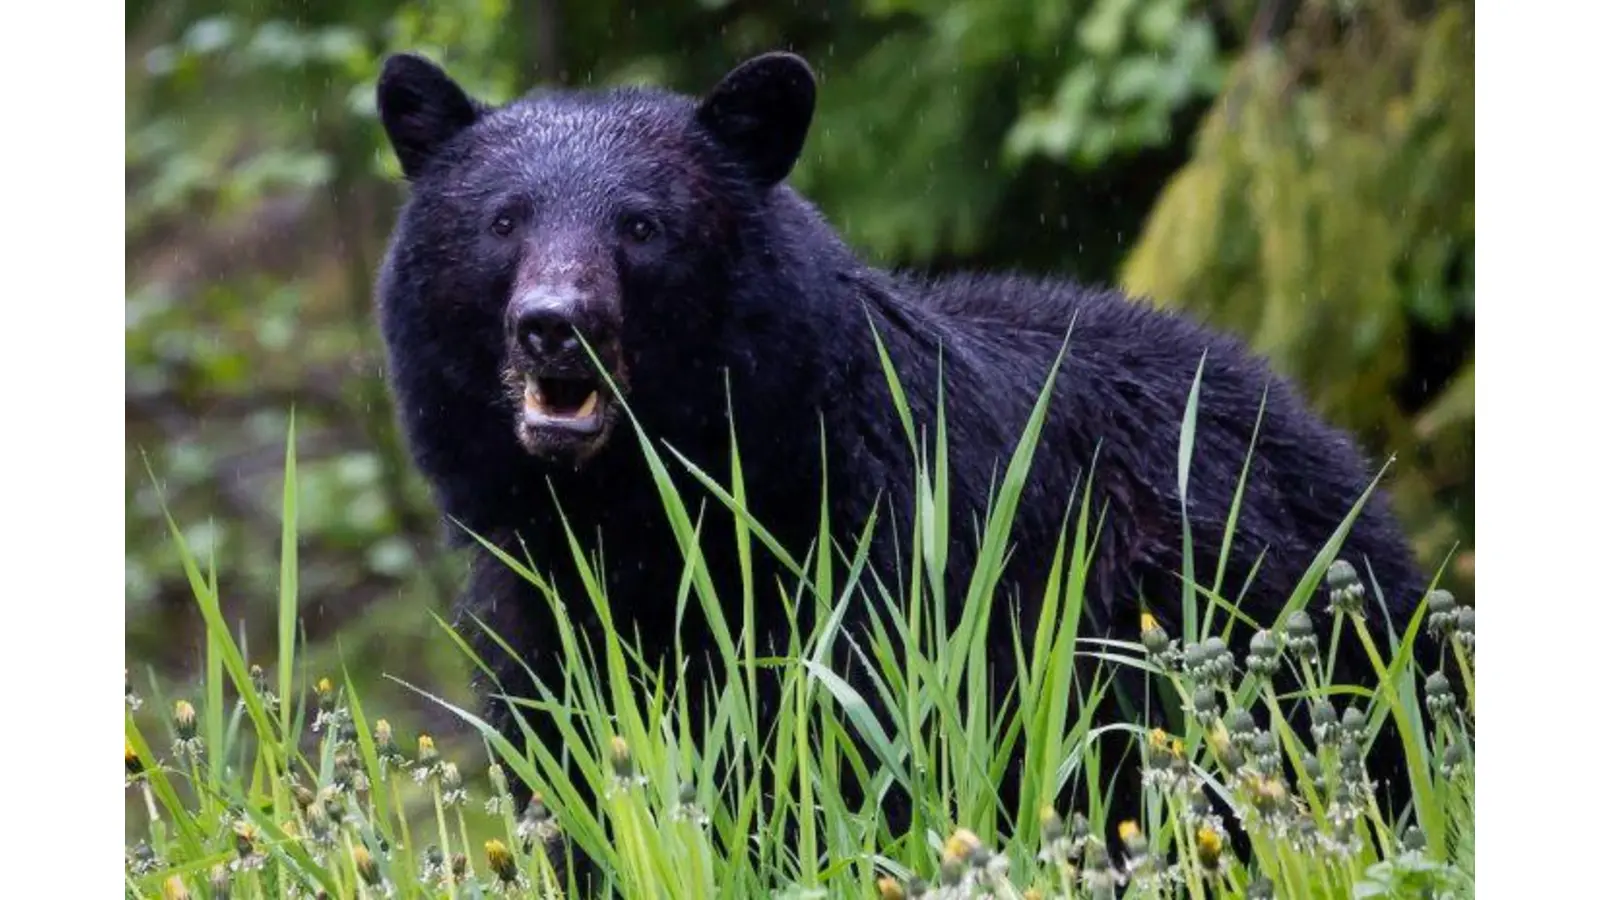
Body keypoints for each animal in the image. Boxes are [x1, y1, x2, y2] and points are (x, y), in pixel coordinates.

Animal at [374, 50, 1428, 879]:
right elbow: (579, 780)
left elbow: (843, 767)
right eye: (503, 221)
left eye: (641, 225)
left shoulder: (879, 568)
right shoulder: (538, 614)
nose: (555, 324)